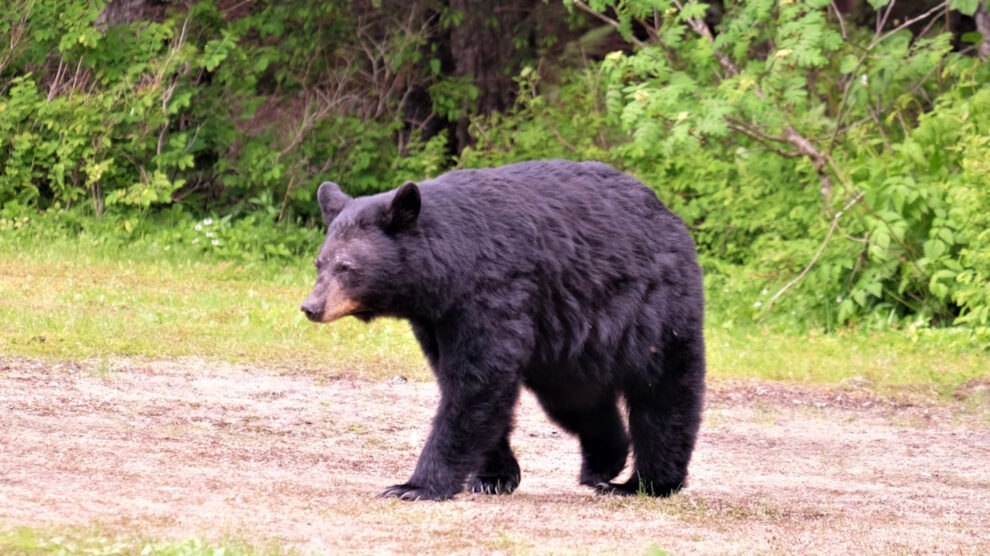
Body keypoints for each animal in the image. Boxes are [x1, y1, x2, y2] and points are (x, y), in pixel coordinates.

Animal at [301, 159, 705, 501]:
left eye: (347, 267)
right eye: (320, 262)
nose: (311, 307)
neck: (451, 270)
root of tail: (669, 215)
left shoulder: (493, 291)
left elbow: (478, 380)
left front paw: (414, 486)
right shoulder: (437, 318)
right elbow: (463, 382)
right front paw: (493, 477)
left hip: (653, 308)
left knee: (663, 391)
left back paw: (647, 482)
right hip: (567, 345)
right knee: (577, 400)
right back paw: (603, 463)